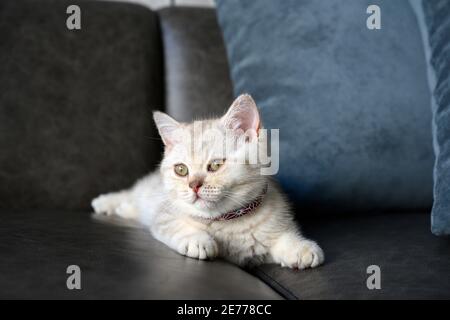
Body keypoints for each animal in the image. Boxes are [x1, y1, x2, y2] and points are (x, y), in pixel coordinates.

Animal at [91, 94, 324, 268]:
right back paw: (107, 203)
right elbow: (173, 225)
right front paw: (197, 240)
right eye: (181, 170)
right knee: (131, 193)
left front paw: (300, 248)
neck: (226, 220)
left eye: (215, 165)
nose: (194, 185)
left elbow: (282, 236)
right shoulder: (164, 215)